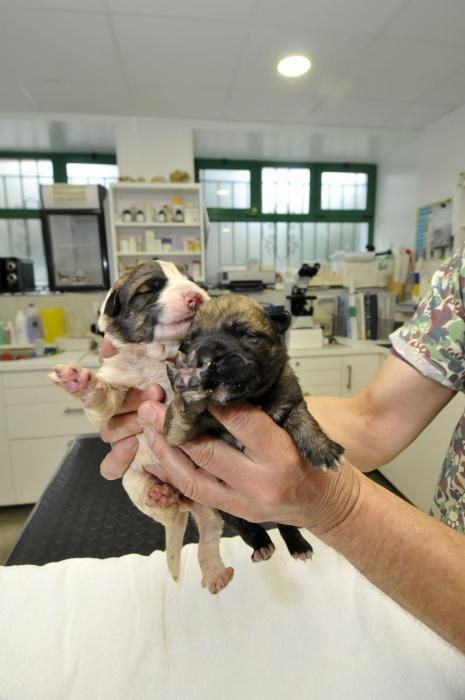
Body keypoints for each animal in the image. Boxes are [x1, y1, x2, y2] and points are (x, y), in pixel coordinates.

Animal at [48, 260, 231, 588]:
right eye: (149, 289)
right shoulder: (115, 388)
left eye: (194, 281)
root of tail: (184, 499)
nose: (196, 297)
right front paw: (78, 381)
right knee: (169, 511)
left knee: (209, 533)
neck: (159, 359)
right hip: (132, 482)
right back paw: (161, 496)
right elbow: (101, 400)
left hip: (209, 502)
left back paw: (215, 573)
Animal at [165, 294, 342, 568]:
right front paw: (189, 380)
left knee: (284, 523)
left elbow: (303, 419)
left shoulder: (290, 400)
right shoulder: (178, 434)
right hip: (224, 506)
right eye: (189, 342)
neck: (249, 400)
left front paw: (322, 449)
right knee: (246, 526)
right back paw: (262, 545)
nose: (207, 359)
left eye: (248, 334)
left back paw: (298, 545)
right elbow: (179, 418)